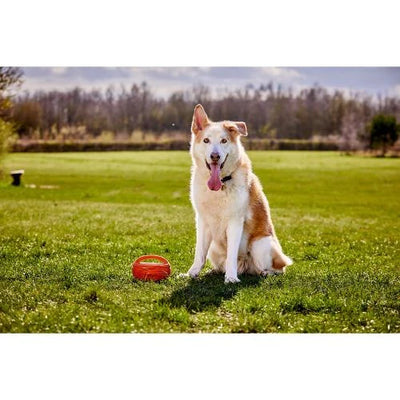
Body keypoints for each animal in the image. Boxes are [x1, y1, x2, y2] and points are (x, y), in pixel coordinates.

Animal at [186, 104, 292, 284]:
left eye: (224, 141)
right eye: (206, 140)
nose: (215, 156)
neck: (221, 184)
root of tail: (245, 266)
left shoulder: (235, 222)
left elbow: (231, 255)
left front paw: (231, 278)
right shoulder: (202, 221)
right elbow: (199, 253)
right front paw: (192, 273)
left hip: (260, 245)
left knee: (276, 269)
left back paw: (264, 273)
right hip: (214, 247)